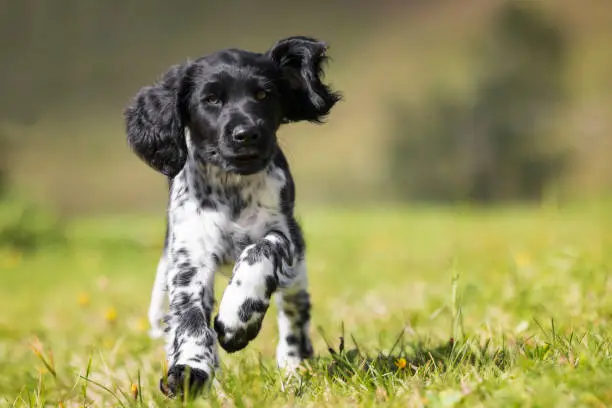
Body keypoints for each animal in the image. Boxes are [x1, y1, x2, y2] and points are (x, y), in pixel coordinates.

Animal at [123, 36, 340, 396]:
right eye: (210, 99)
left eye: (264, 95)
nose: (246, 133)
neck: (232, 190)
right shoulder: (189, 258)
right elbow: (190, 321)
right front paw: (190, 371)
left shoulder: (286, 234)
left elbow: (260, 251)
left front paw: (237, 320)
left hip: (296, 279)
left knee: (294, 316)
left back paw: (293, 367)